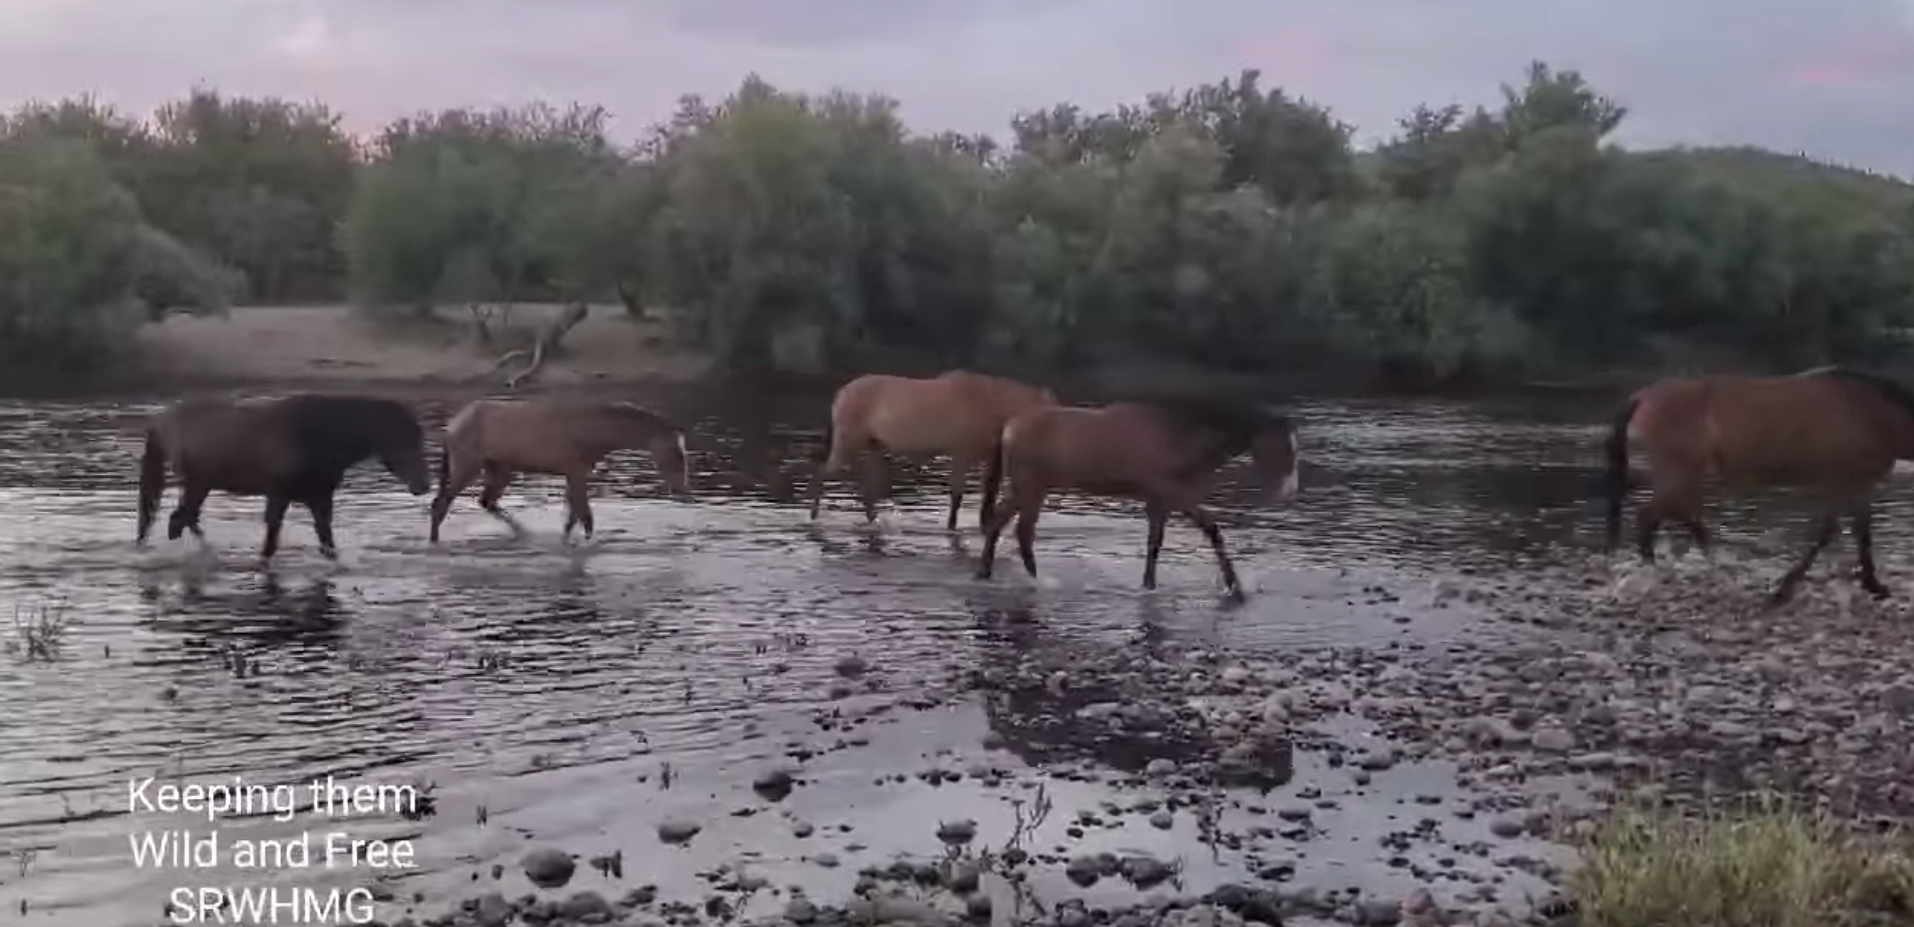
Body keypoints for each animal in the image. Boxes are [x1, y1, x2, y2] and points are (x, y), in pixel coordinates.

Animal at [135, 393, 432, 561]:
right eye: (403, 438)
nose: (424, 485)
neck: (313, 435)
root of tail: (162, 421)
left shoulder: (320, 499)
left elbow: (326, 540)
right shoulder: (279, 495)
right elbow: (272, 539)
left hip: (200, 485)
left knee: (185, 519)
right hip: (197, 483)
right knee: (180, 520)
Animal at [428, 397, 692, 544]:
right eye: (676, 453)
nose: (682, 490)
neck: (596, 430)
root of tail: (451, 427)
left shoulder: (573, 473)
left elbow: (573, 516)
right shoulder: (576, 471)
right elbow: (584, 516)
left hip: (499, 469)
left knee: (486, 502)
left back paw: (523, 533)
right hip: (467, 466)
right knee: (441, 504)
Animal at [806, 369, 1058, 530]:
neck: (988, 402)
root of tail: (841, 393)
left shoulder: (988, 458)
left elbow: (989, 492)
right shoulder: (961, 454)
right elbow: (957, 494)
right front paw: (952, 526)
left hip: (872, 448)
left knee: (866, 488)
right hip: (848, 443)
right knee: (823, 472)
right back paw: (814, 514)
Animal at [974, 397, 1301, 600]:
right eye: (1285, 447)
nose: (1290, 490)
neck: (1175, 438)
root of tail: (1010, 426)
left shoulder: (1160, 501)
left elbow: (1154, 544)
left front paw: (1149, 585)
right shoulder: (1174, 494)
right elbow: (1211, 529)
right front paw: (1235, 587)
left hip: (1031, 489)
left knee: (1009, 527)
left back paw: (1005, 575)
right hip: (1028, 487)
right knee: (1014, 529)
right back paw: (1026, 579)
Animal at [1603, 365, 1914, 604]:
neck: (1870, 411)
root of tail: (1642, 396)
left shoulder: (1854, 485)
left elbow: (1854, 532)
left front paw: (1873, 585)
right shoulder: (1845, 481)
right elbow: (1833, 533)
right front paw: (1786, 587)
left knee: (1673, 514)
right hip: (1681, 471)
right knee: (1655, 515)